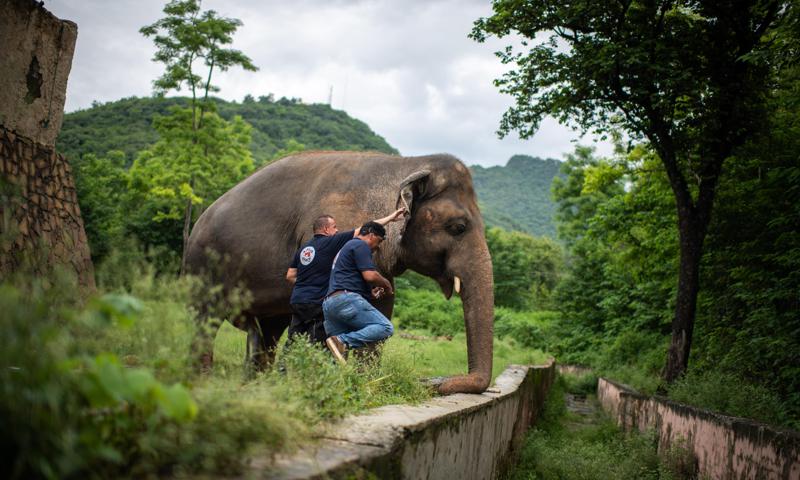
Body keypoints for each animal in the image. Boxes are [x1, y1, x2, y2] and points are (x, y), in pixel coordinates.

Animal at [184, 151, 494, 394]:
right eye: (458, 227)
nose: (433, 383)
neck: (408, 163)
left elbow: (382, 303)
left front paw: (367, 383)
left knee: (267, 330)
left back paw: (256, 385)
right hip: (201, 265)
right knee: (206, 319)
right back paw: (203, 381)